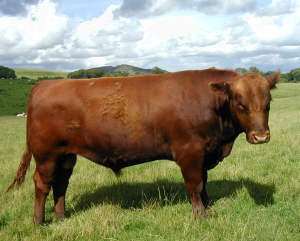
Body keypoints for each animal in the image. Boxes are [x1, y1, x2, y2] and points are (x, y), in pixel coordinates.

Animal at [7, 68, 280, 224]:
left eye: (268, 102)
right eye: (240, 103)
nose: (261, 136)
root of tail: (45, 84)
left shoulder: (205, 151)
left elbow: (204, 182)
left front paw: (207, 205)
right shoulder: (190, 151)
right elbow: (195, 183)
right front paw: (201, 216)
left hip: (66, 155)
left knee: (61, 183)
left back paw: (61, 217)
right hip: (47, 153)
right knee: (42, 183)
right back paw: (39, 221)